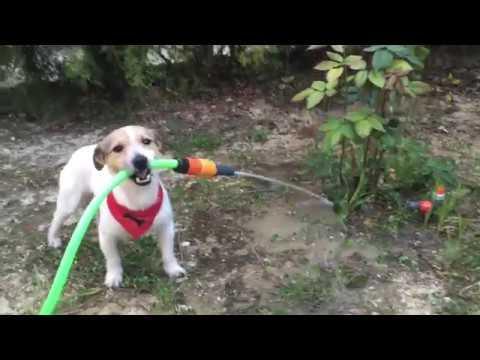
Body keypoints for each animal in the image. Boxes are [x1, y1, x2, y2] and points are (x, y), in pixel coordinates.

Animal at [47, 125, 186, 288]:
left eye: (146, 141)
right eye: (117, 148)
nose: (140, 160)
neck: (138, 196)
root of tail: (81, 150)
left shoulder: (166, 228)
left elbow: (168, 253)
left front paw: (173, 269)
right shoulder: (107, 236)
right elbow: (113, 259)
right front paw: (114, 276)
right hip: (69, 203)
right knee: (56, 220)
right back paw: (52, 239)